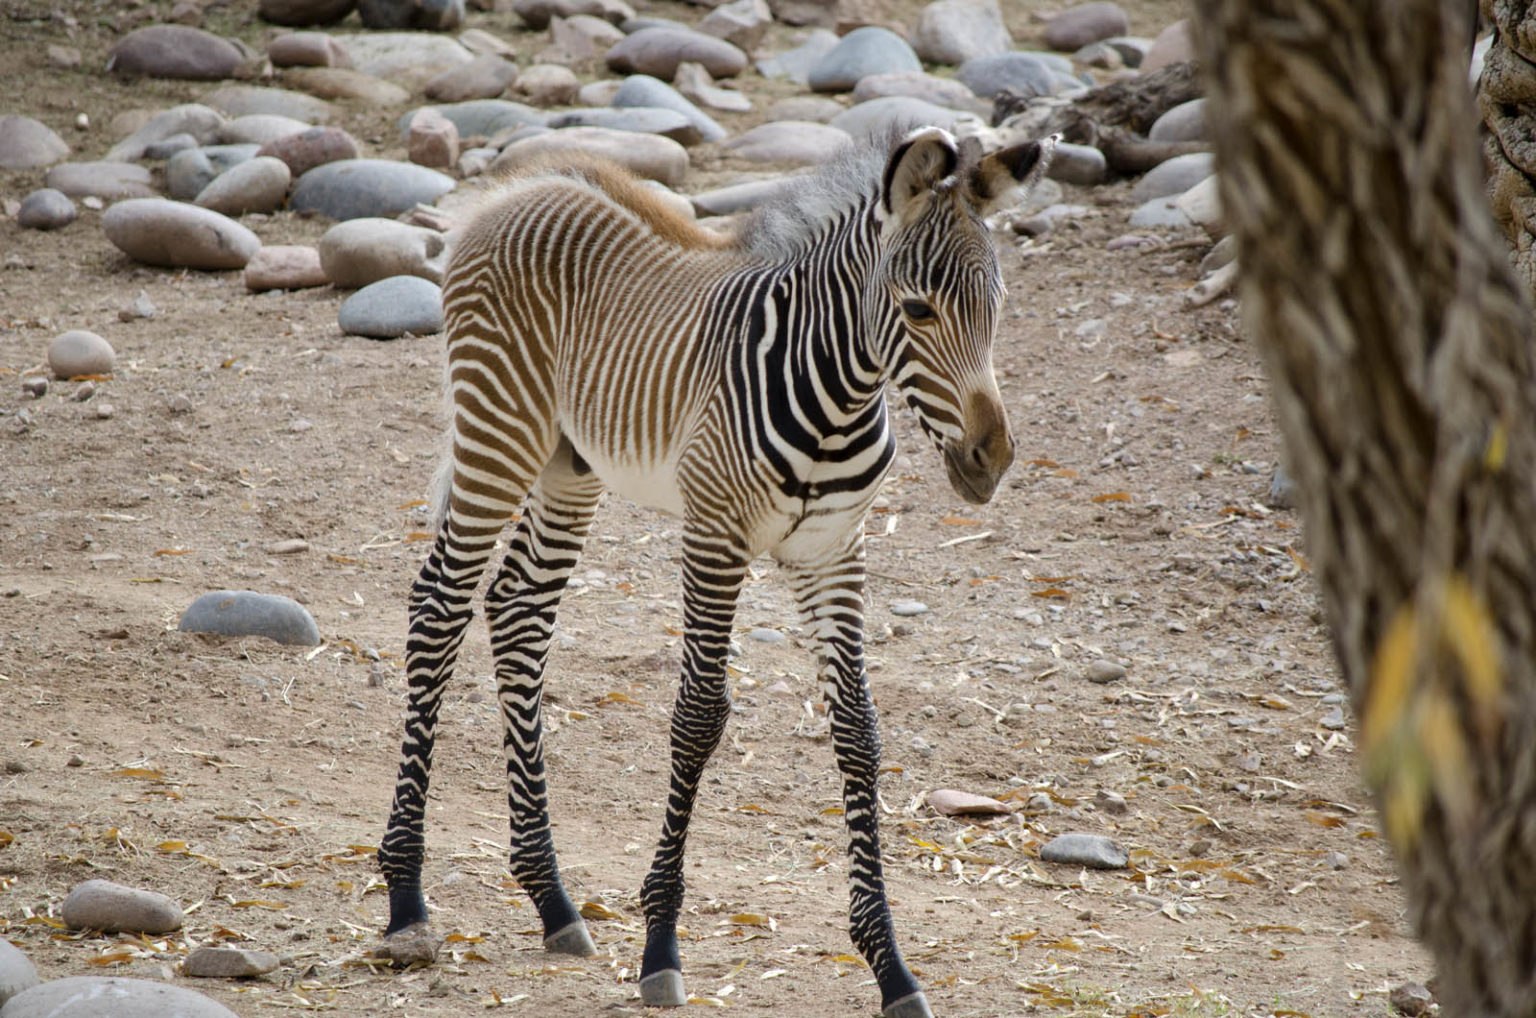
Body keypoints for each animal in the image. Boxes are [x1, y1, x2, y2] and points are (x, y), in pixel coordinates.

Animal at [380, 127, 1056, 1018]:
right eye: (918, 310)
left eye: (998, 307)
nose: (991, 460)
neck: (836, 392)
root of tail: (522, 188)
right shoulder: (715, 536)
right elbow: (699, 717)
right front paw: (661, 944)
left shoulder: (834, 552)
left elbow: (859, 732)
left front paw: (890, 965)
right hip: (499, 430)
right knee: (440, 605)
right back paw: (405, 898)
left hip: (569, 464)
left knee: (518, 611)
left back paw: (552, 898)